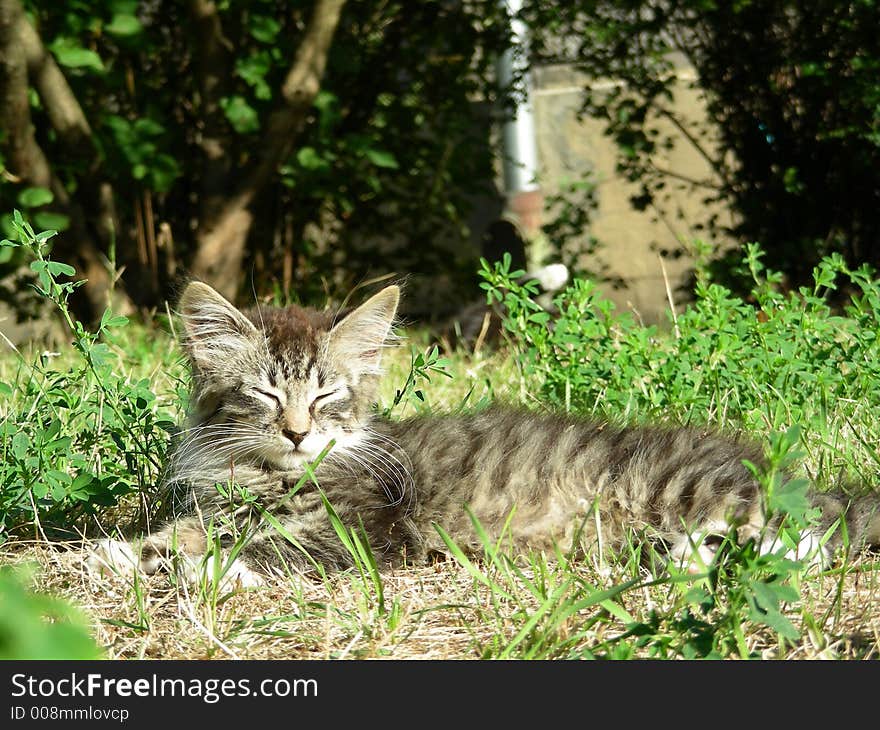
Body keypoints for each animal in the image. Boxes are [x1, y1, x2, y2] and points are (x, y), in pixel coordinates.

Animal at [87, 282, 880, 584]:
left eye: (328, 395)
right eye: (264, 395)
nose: (297, 433)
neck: (267, 477)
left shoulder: (360, 537)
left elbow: (251, 555)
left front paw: (187, 569)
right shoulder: (221, 505)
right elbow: (186, 533)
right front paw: (124, 552)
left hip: (688, 490)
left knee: (806, 542)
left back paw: (702, 560)